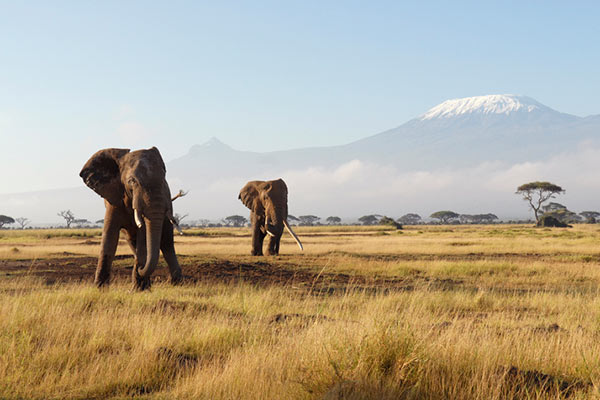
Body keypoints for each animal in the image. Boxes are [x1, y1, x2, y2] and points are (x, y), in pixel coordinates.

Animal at [79, 147, 183, 290]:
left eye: (164, 180)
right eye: (132, 181)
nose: (140, 267)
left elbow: (143, 236)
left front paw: (139, 288)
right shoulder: (114, 199)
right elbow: (109, 236)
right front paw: (100, 289)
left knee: (167, 242)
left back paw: (175, 282)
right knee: (132, 241)